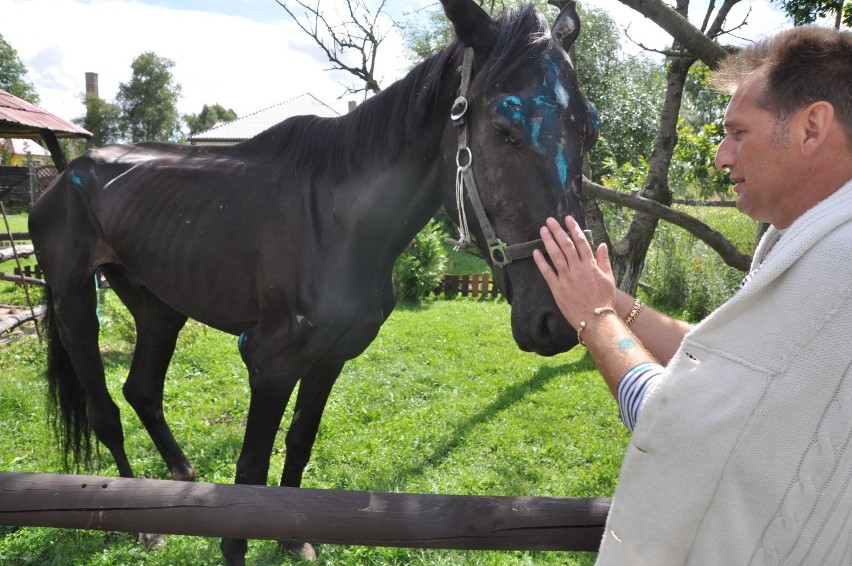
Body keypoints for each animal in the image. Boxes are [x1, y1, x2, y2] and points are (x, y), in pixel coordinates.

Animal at [28, 2, 600, 564]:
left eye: (590, 130)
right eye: (504, 127)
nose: (556, 318)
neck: (337, 221)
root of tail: (64, 174)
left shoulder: (329, 358)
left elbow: (299, 442)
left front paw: (290, 538)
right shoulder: (268, 363)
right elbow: (248, 476)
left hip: (158, 305)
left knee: (142, 391)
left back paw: (179, 483)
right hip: (75, 303)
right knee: (105, 412)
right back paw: (138, 526)